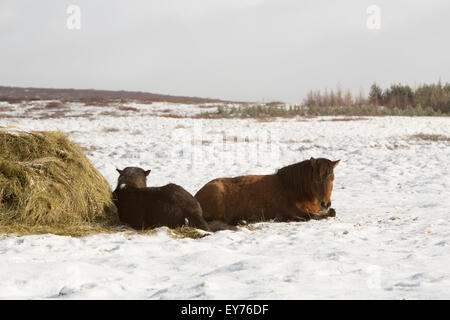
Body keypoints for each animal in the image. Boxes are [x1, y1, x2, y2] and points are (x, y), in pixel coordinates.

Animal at [195, 157, 340, 226]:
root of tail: (197, 195)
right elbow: (314, 216)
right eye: (316, 180)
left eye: (332, 179)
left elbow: (331, 212)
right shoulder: (295, 212)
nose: (325, 203)